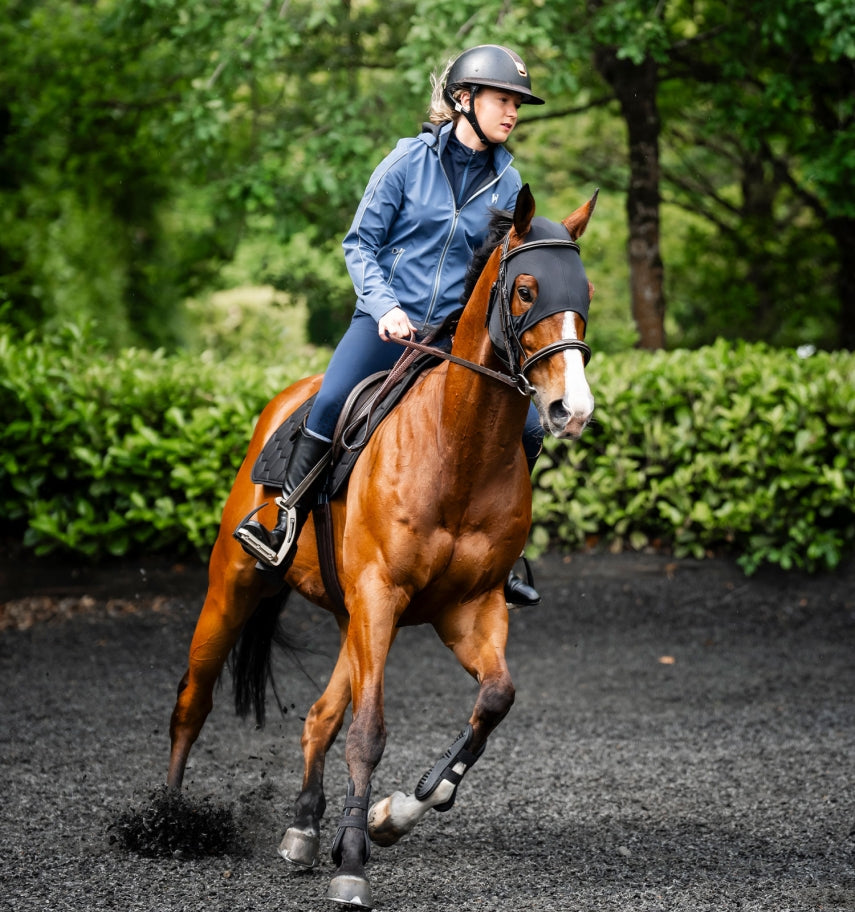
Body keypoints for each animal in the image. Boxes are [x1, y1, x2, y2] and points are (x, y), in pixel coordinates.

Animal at [166, 184, 597, 907]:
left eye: (583, 292)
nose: (573, 409)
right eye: (525, 291)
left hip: (354, 618)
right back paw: (165, 823)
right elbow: (369, 733)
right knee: (192, 700)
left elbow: (495, 700)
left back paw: (305, 829)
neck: (457, 446)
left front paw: (394, 813)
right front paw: (353, 865)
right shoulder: (382, 595)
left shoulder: (469, 609)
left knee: (318, 716)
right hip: (237, 584)